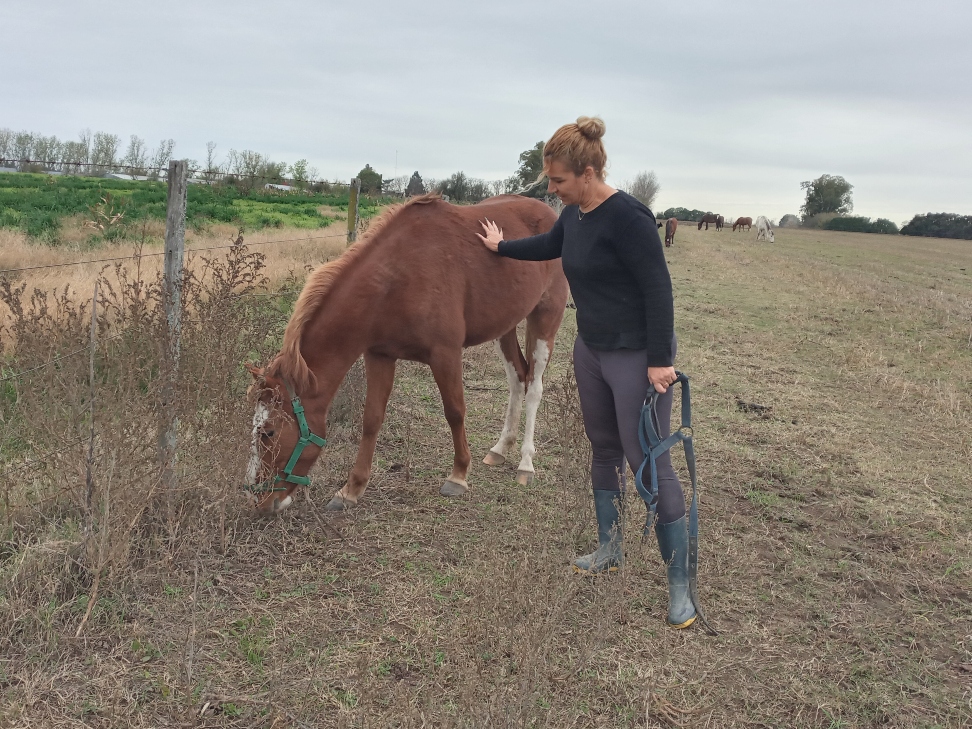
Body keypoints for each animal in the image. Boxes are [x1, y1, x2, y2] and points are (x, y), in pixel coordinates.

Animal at [243, 193, 572, 512]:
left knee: (534, 388)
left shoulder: (445, 354)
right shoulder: (380, 355)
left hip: (546, 318)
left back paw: (526, 464)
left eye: (268, 432)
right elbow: (372, 419)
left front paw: (458, 475)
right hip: (505, 326)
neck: (396, 278)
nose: (260, 502)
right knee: (518, 379)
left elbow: (455, 412)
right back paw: (500, 449)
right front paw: (351, 490)